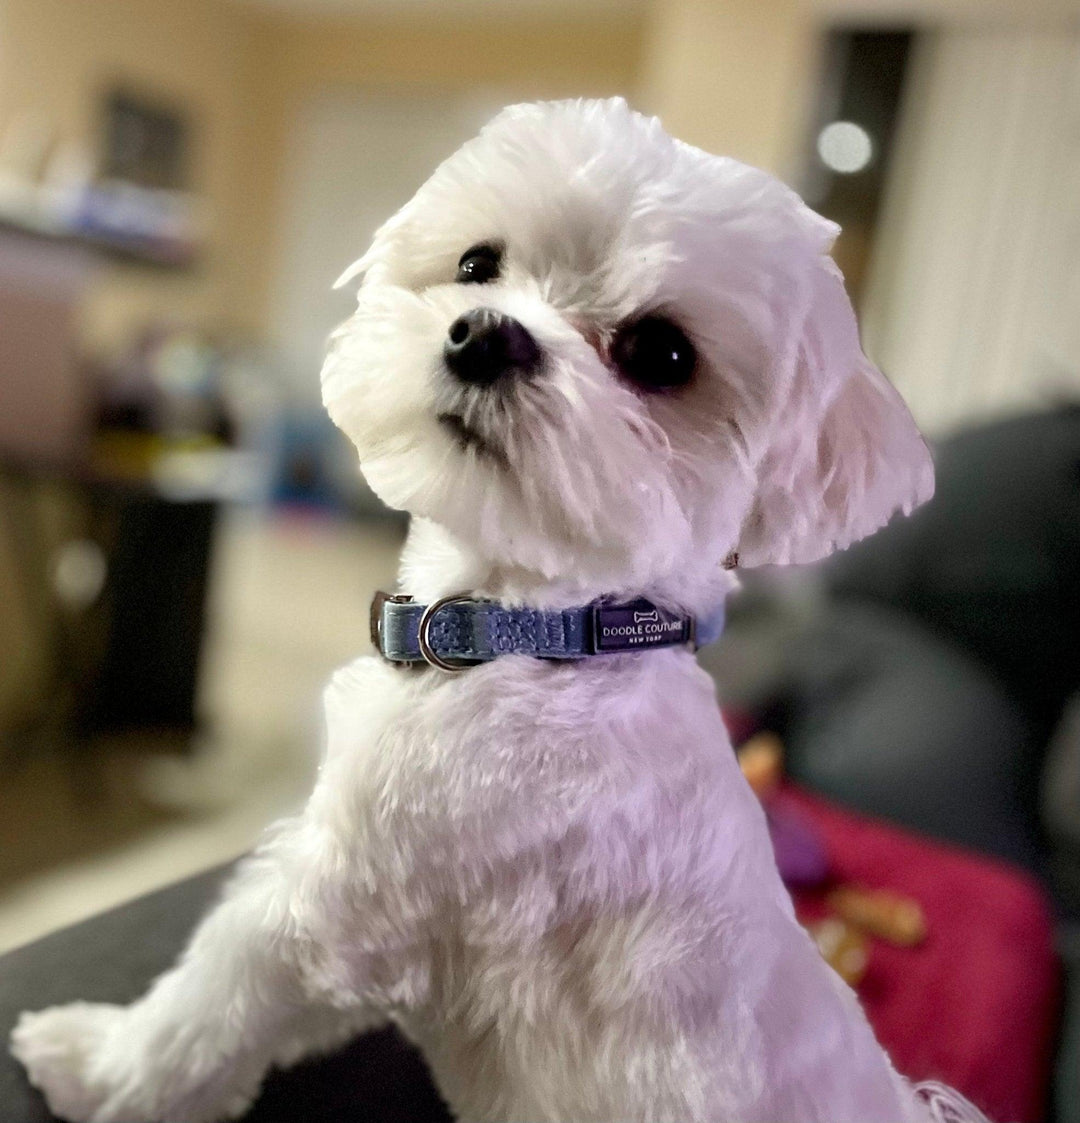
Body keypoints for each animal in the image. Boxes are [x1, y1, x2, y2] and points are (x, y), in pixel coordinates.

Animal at [10, 98, 983, 1123]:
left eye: (663, 354)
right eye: (478, 265)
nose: (486, 333)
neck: (540, 634)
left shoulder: (345, 896)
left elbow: (214, 1003)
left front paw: (99, 1063)